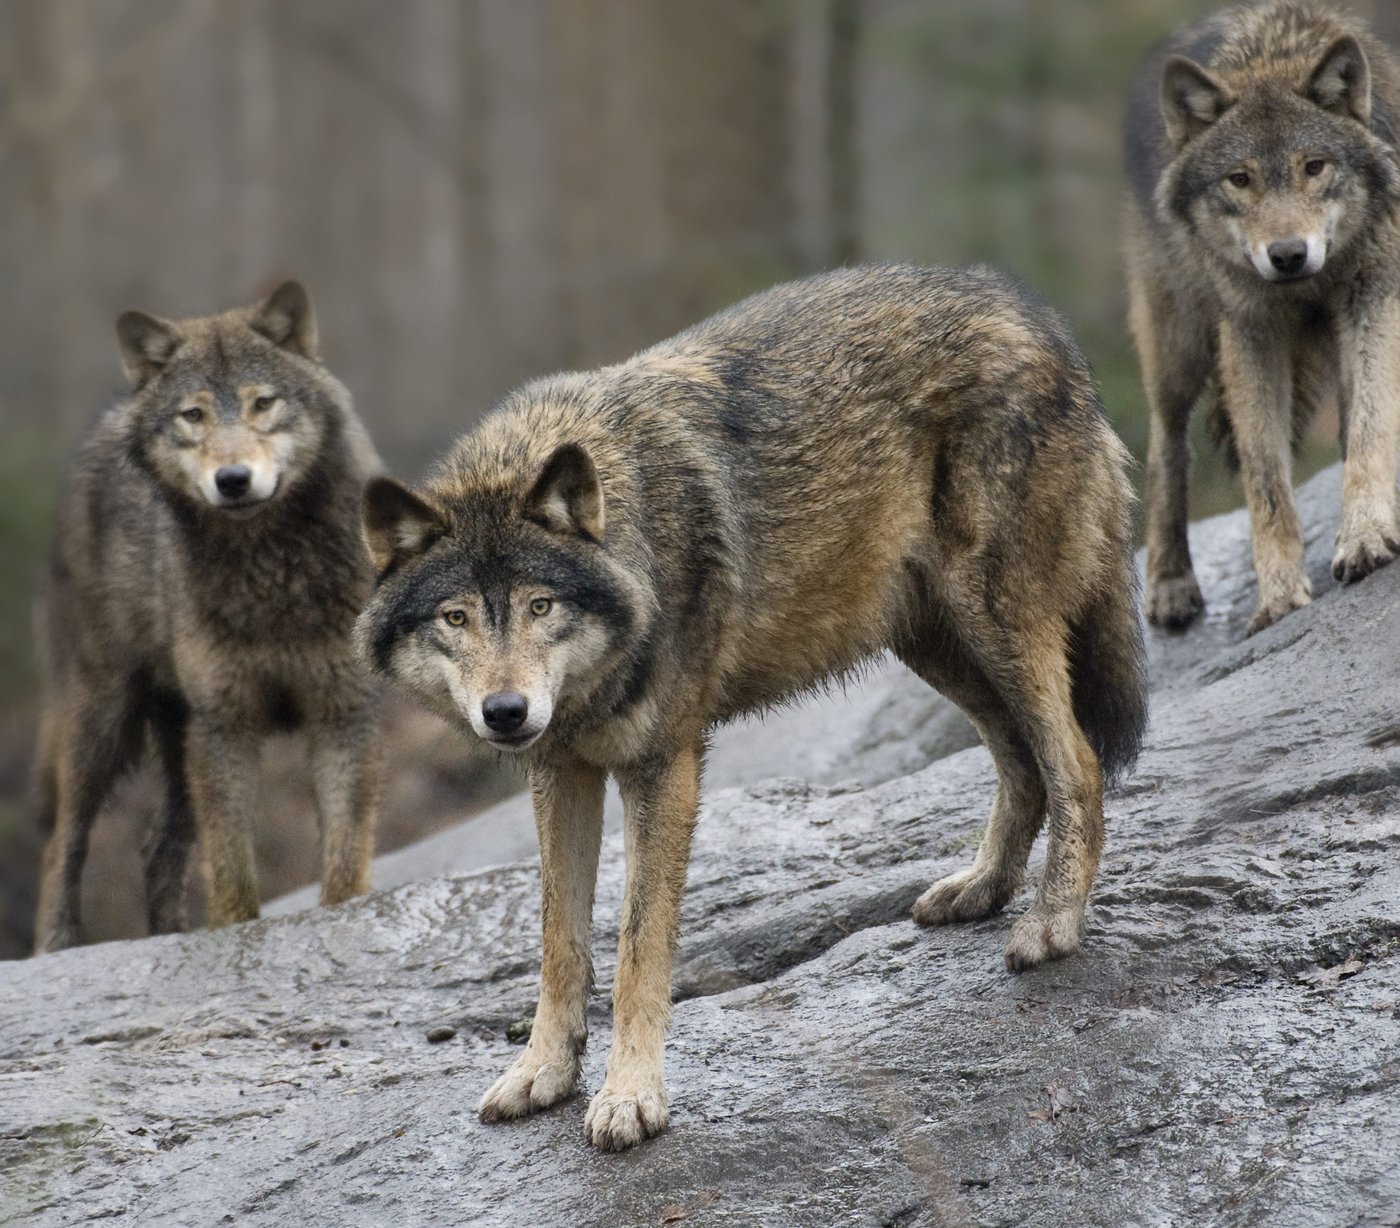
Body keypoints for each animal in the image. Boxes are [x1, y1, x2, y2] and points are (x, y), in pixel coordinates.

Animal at [31, 282, 383, 954]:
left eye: (262, 403)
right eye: (193, 416)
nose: (233, 479)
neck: (270, 576)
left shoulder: (343, 714)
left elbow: (344, 859)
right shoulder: (226, 726)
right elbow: (231, 867)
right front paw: (234, 937)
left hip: (174, 738)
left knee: (155, 847)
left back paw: (168, 937)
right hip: (106, 718)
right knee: (63, 842)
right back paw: (55, 948)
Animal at [358, 264, 1148, 1150]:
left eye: (538, 605)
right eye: (456, 617)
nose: (505, 712)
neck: (635, 535)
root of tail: (1031, 312)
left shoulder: (662, 767)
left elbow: (636, 947)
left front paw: (631, 1095)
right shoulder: (560, 771)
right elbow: (559, 941)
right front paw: (544, 1072)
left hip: (996, 621)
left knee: (1076, 761)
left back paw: (1052, 926)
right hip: (934, 644)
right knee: (1022, 763)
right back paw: (980, 888)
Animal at [1126, 0, 1400, 634]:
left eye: (1314, 167)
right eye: (1240, 178)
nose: (1289, 254)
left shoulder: (1374, 295)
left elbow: (1372, 424)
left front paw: (1365, 536)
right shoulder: (1249, 333)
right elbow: (1265, 480)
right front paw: (1277, 597)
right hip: (1179, 341)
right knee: (1164, 444)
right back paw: (1170, 584)